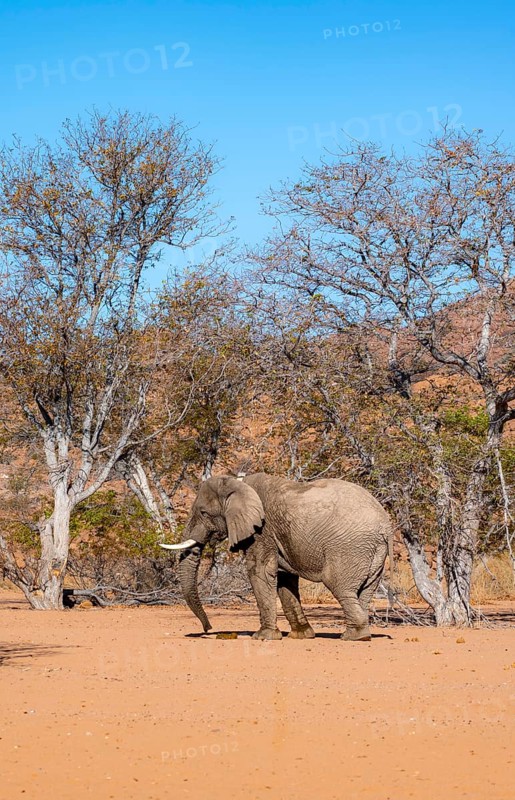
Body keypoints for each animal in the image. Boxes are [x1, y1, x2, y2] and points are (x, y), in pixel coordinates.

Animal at [161, 473, 393, 641]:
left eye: (203, 513)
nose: (208, 629)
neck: (238, 484)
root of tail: (385, 526)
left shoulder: (262, 531)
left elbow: (260, 573)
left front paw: (263, 637)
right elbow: (284, 579)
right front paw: (301, 636)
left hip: (349, 548)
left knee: (340, 588)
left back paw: (353, 637)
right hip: (371, 554)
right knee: (365, 592)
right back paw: (358, 633)